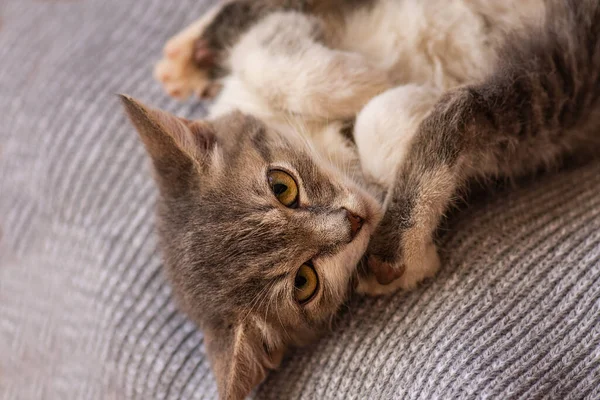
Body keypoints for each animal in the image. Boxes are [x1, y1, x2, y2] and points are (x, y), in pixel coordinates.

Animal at [119, 1, 600, 398]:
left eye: (282, 186)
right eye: (304, 282)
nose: (352, 222)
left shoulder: (275, 28)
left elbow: (262, 48)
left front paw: (369, 82)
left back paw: (188, 56)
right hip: (556, 84)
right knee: (472, 111)